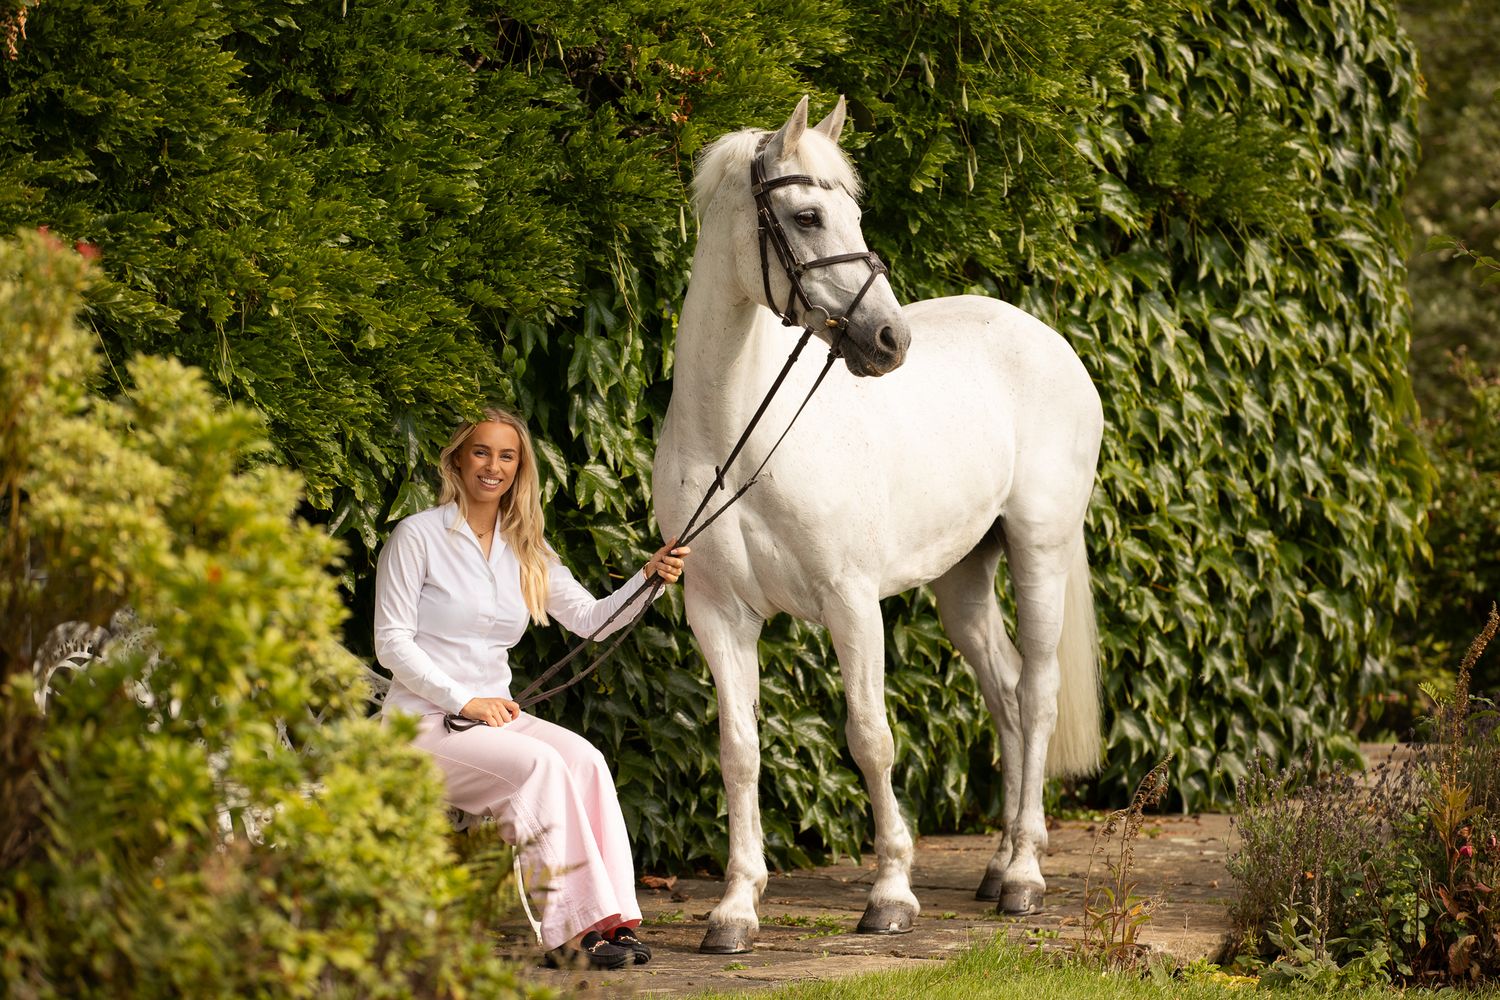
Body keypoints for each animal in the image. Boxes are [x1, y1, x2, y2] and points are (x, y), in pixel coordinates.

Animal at [652, 96, 1104, 955]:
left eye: (855, 215)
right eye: (807, 215)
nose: (890, 342)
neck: (738, 436)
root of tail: (1050, 341)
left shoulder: (851, 602)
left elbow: (871, 736)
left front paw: (891, 893)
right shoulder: (717, 614)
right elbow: (739, 751)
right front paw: (735, 908)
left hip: (1040, 551)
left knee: (1038, 692)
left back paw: (1025, 876)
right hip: (964, 578)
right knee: (1004, 690)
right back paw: (998, 864)